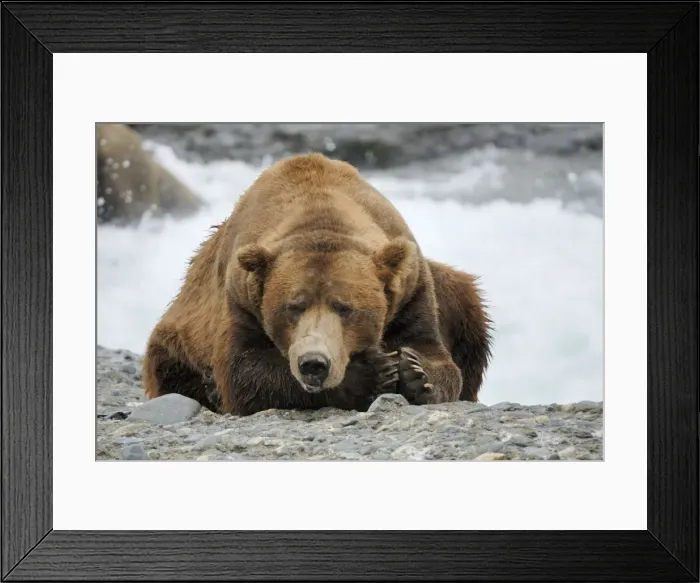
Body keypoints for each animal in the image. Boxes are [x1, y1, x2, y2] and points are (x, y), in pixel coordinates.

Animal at [142, 152, 492, 415]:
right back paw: (209, 388)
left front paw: (416, 373)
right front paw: (369, 373)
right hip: (175, 340)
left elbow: (436, 355)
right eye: (293, 307)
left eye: (345, 307)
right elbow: (245, 371)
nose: (314, 364)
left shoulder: (411, 289)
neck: (320, 213)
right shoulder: (239, 297)